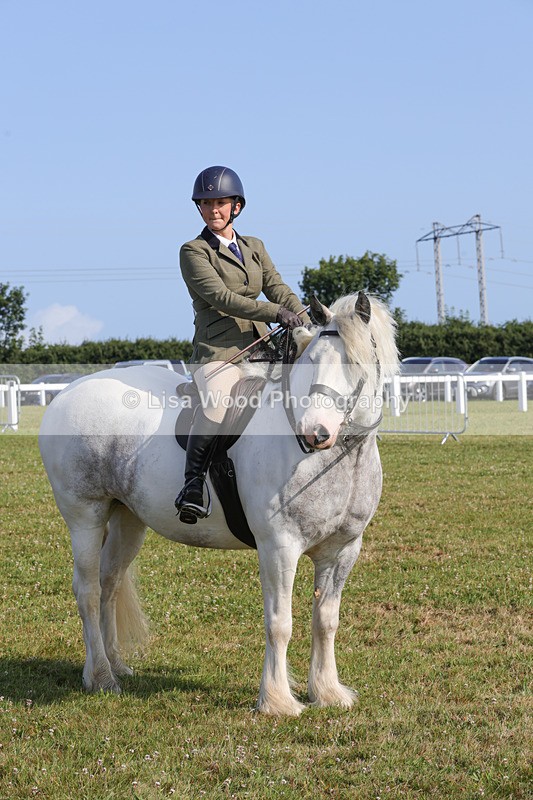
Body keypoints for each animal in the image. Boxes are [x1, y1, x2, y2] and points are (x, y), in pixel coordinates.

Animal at [39, 292, 399, 716]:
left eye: (355, 362)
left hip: (128, 519)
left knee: (109, 584)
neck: (337, 459)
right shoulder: (279, 547)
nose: (315, 434)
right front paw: (277, 701)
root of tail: (66, 394)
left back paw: (116, 665)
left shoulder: (342, 550)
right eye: (311, 360)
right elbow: (280, 622)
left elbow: (326, 620)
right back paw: (100, 677)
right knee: (89, 591)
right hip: (85, 517)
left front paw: (327, 692)